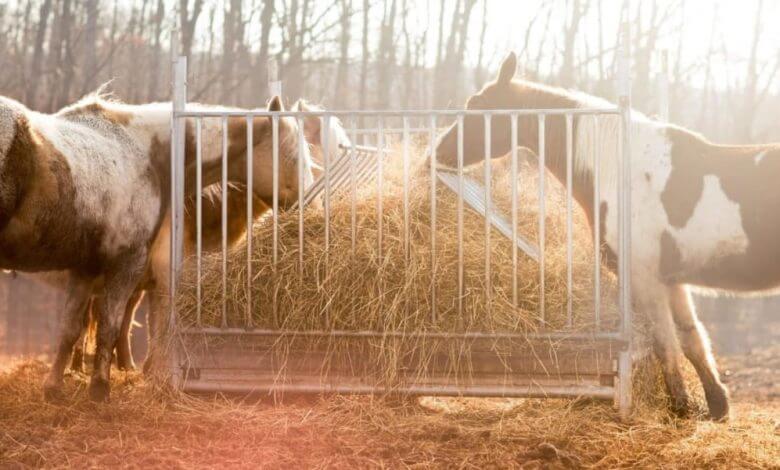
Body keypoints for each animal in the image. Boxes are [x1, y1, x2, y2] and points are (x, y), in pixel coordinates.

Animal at [0, 92, 314, 400]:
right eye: (293, 156)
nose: (310, 205)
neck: (146, 155)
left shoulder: (86, 268)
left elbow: (70, 328)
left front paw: (54, 388)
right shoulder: (129, 264)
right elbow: (112, 326)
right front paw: (100, 388)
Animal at [432, 52, 780, 422]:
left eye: (476, 106)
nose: (438, 152)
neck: (621, 170)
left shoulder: (645, 279)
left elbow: (666, 344)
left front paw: (680, 406)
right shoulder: (672, 281)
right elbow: (692, 340)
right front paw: (716, 406)